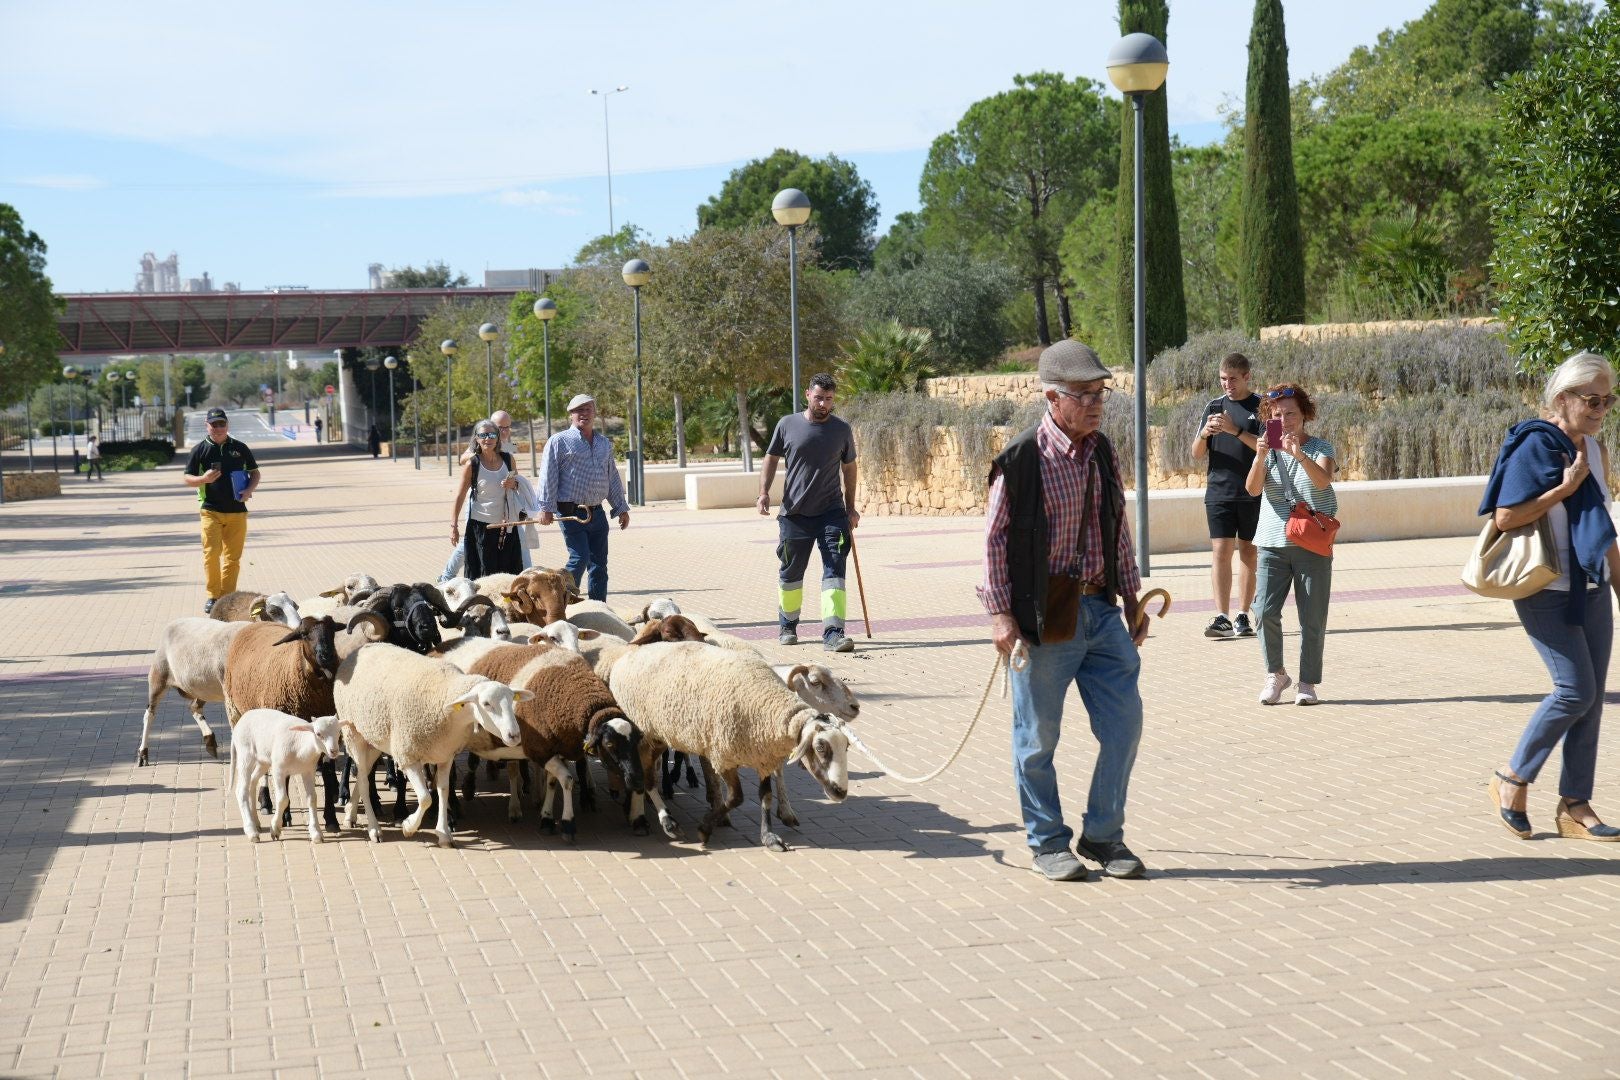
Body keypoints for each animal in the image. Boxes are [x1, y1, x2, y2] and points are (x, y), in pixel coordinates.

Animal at [137, 617, 253, 765]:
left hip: (202, 689)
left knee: (194, 707)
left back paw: (210, 742)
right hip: (158, 675)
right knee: (150, 713)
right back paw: (143, 754)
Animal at [230, 709, 342, 843]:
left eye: (339, 731)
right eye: (318, 734)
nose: (334, 751)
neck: (301, 744)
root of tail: (240, 721)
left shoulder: (308, 771)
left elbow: (312, 799)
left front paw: (316, 833)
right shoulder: (279, 770)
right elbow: (283, 799)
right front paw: (275, 828)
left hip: (263, 761)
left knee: (252, 782)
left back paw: (256, 822)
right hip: (245, 755)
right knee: (241, 790)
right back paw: (251, 831)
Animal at [333, 640, 529, 847]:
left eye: (512, 700)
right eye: (486, 704)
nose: (514, 735)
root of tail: (361, 648)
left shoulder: (445, 755)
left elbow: (443, 790)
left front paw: (443, 834)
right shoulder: (408, 756)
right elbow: (426, 798)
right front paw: (409, 826)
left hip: (374, 739)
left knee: (363, 774)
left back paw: (350, 814)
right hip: (354, 734)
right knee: (363, 781)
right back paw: (374, 829)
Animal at [608, 641, 850, 852]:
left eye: (846, 747)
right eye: (820, 747)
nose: (841, 792)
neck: (771, 708)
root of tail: (631, 652)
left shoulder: (762, 756)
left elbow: (766, 796)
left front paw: (769, 837)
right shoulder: (722, 756)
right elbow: (735, 798)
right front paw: (705, 829)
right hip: (648, 732)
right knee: (647, 776)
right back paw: (661, 822)